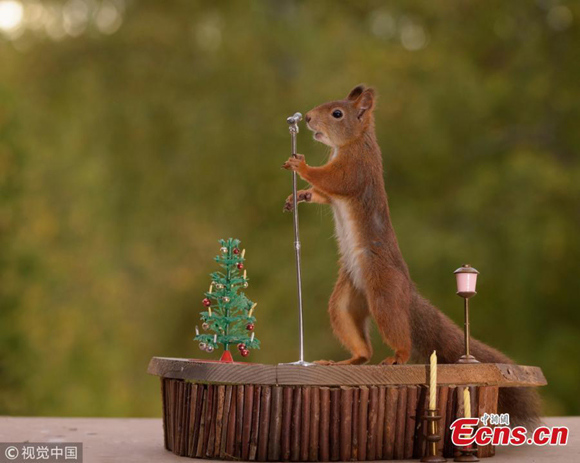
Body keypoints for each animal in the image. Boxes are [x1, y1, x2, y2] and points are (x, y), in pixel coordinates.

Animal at [284, 85, 540, 426]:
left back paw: (396, 357)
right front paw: (297, 195)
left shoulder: (357, 168)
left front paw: (300, 166)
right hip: (344, 302)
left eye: (337, 113)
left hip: (383, 294)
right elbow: (323, 194)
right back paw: (343, 361)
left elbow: (334, 181)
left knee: (398, 334)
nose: (309, 118)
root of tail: (407, 290)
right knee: (361, 348)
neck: (354, 143)